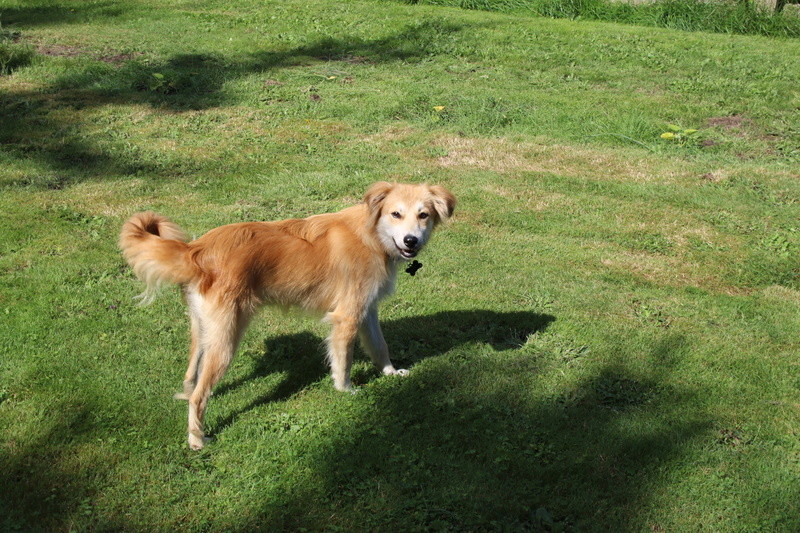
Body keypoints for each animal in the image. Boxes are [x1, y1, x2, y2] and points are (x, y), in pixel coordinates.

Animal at [119, 181, 456, 446]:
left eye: (423, 215)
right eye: (395, 214)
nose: (411, 240)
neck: (372, 234)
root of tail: (196, 251)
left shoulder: (367, 309)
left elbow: (380, 346)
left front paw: (390, 373)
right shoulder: (347, 316)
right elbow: (343, 362)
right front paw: (345, 390)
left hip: (203, 331)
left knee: (192, 379)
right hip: (226, 340)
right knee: (199, 396)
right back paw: (197, 440)